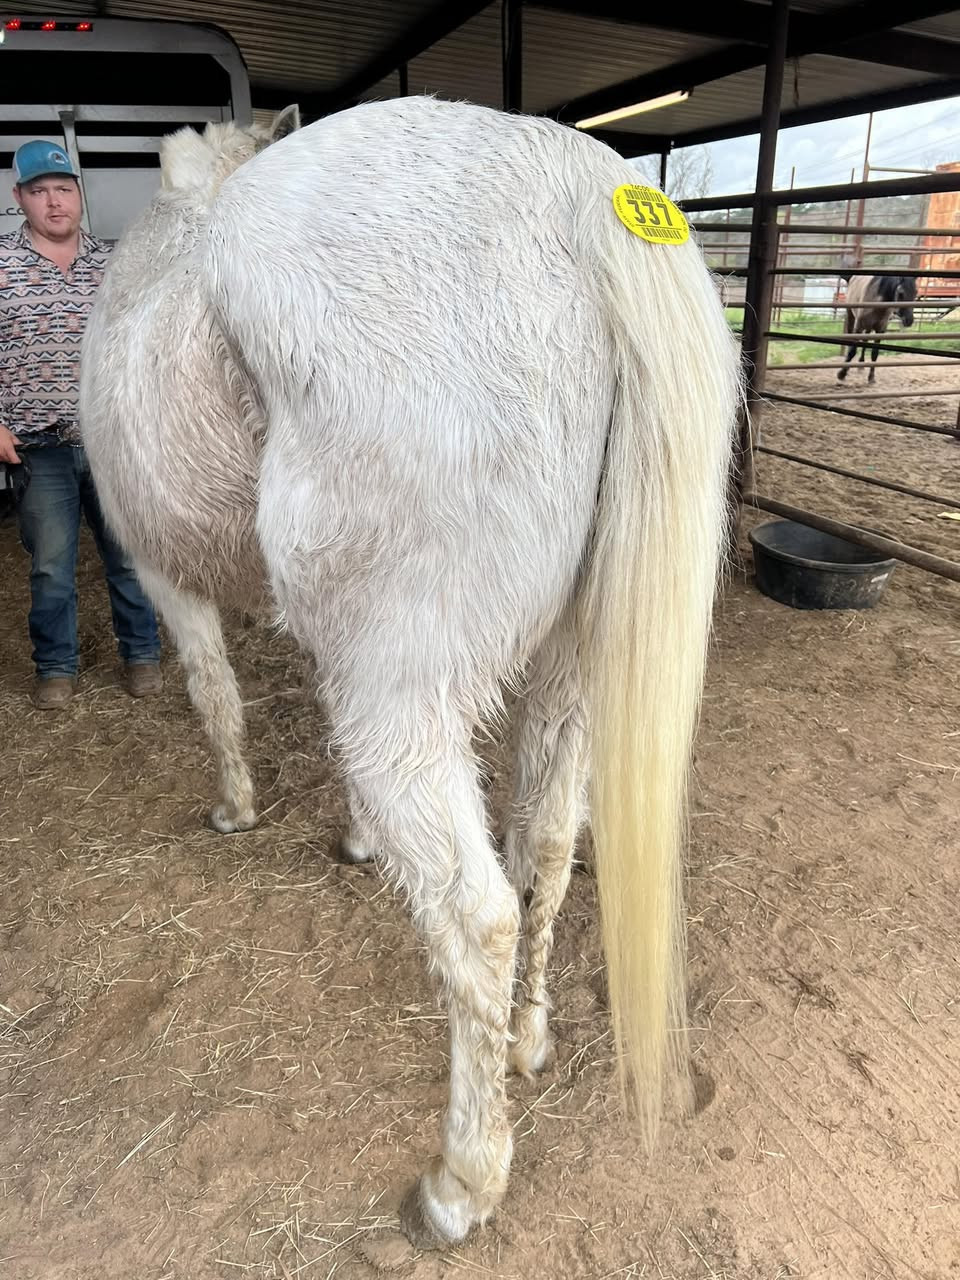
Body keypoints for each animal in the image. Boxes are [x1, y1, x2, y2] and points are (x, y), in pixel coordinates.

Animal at [79, 96, 741, 1247]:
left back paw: (462, 1181)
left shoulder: (165, 577)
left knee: (480, 914)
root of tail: (577, 188)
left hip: (406, 697)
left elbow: (214, 696)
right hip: (566, 677)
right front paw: (349, 834)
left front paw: (234, 807)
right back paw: (526, 1042)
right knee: (546, 852)